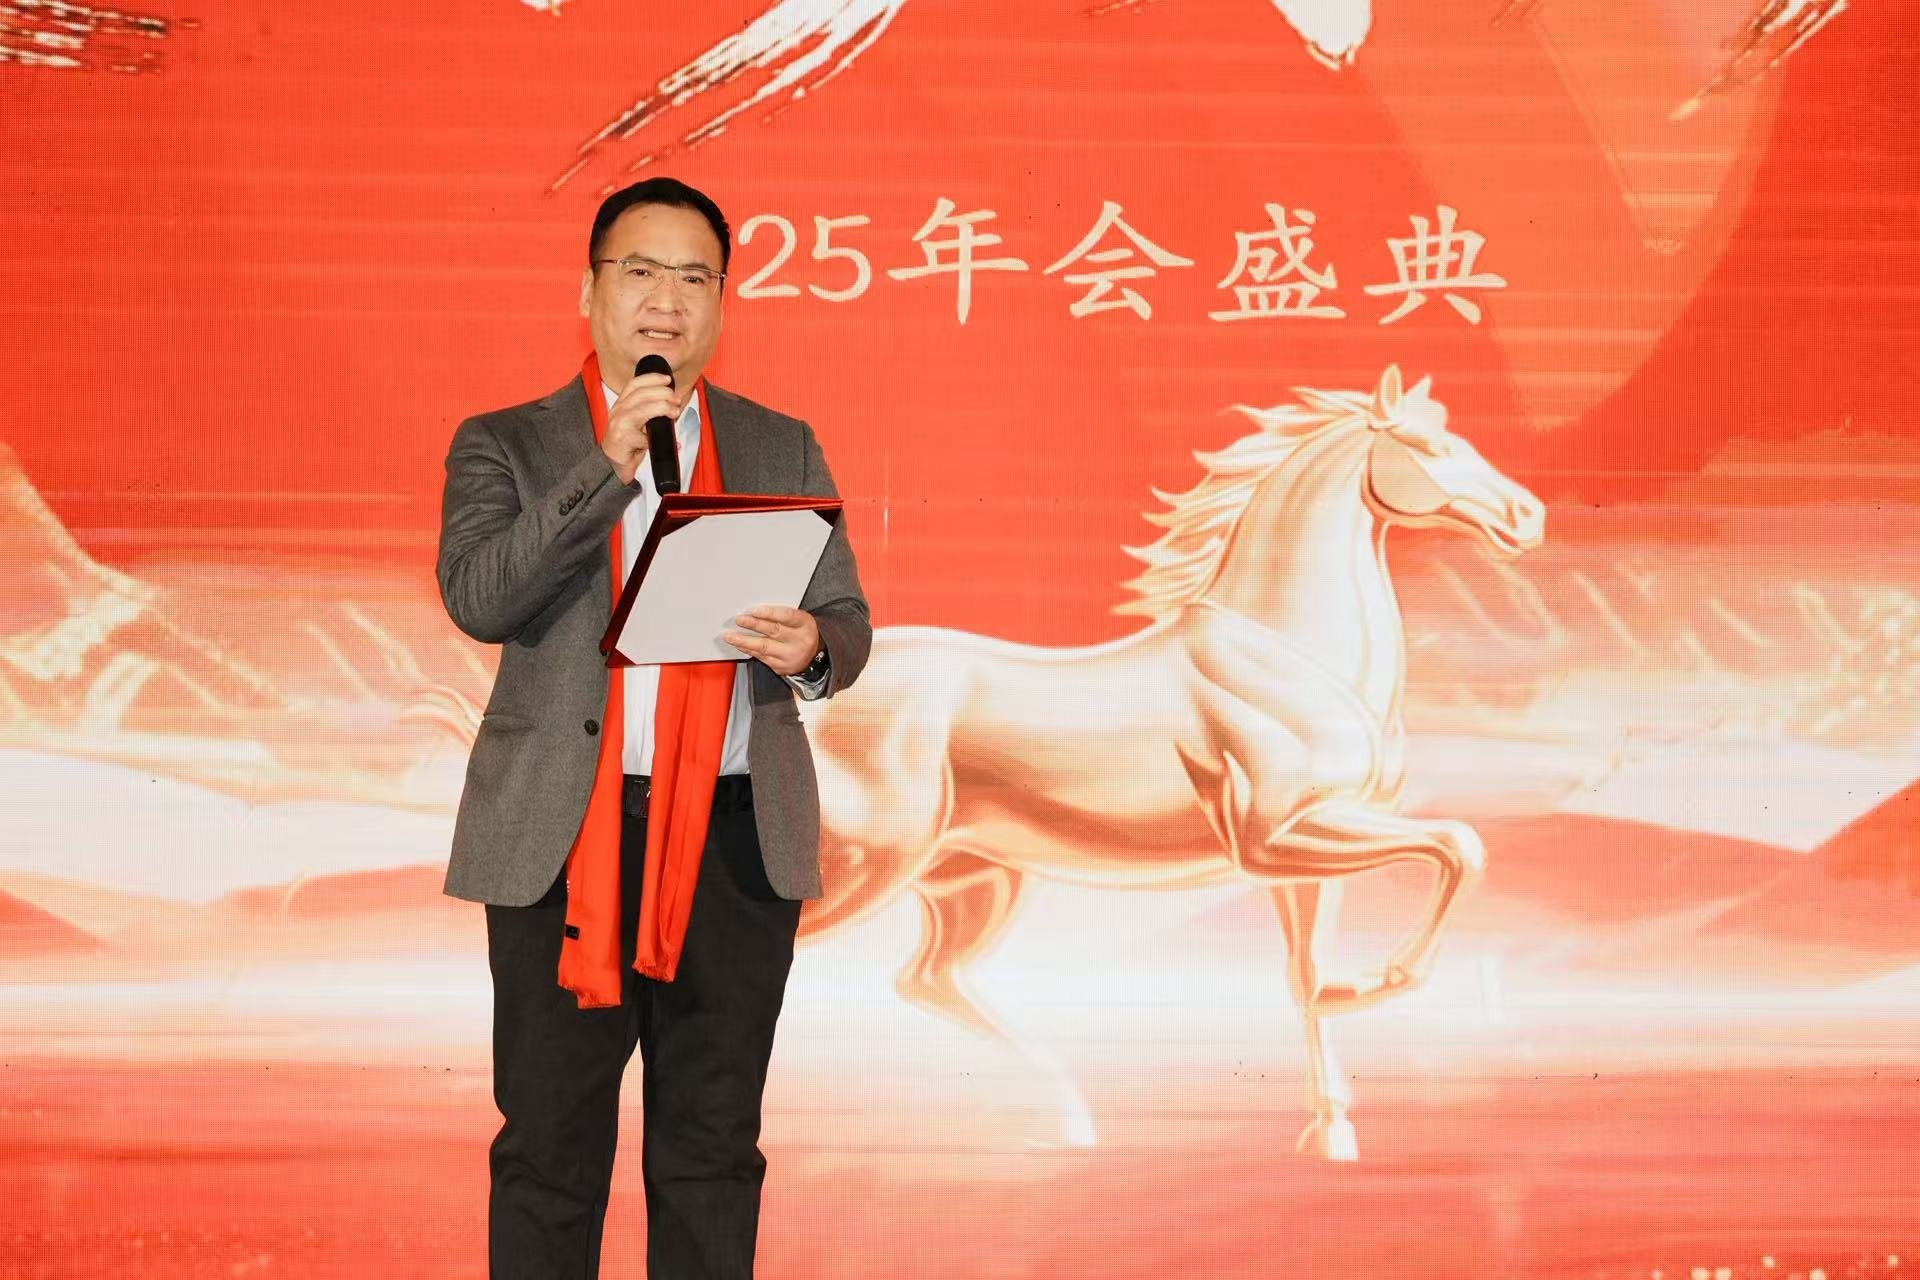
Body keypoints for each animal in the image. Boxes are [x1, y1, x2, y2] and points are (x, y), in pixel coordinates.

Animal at [798, 365, 1545, 1159]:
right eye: (1429, 445)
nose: (1529, 516)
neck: (1286, 650)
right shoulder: (1276, 837)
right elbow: (1459, 844)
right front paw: (1384, 979)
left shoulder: (1304, 860)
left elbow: (1305, 977)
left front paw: (1331, 1130)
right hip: (866, 866)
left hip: (972, 879)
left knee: (927, 979)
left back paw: (1072, 1121)